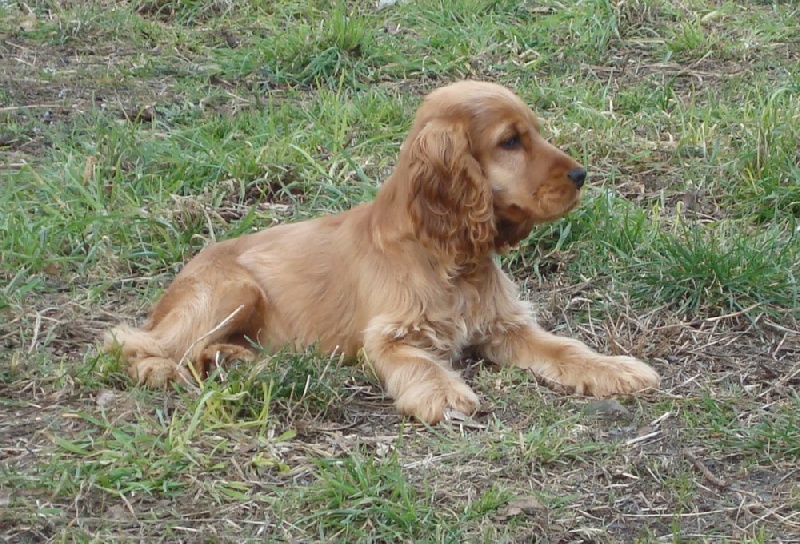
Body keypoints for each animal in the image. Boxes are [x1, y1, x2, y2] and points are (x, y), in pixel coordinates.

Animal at [104, 81, 656, 422]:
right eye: (510, 141)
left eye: (534, 132)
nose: (582, 175)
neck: (448, 258)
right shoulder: (389, 336)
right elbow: (419, 363)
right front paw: (443, 393)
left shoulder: (505, 326)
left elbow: (565, 348)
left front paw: (616, 369)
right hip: (233, 290)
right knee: (134, 342)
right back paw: (165, 368)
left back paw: (246, 361)